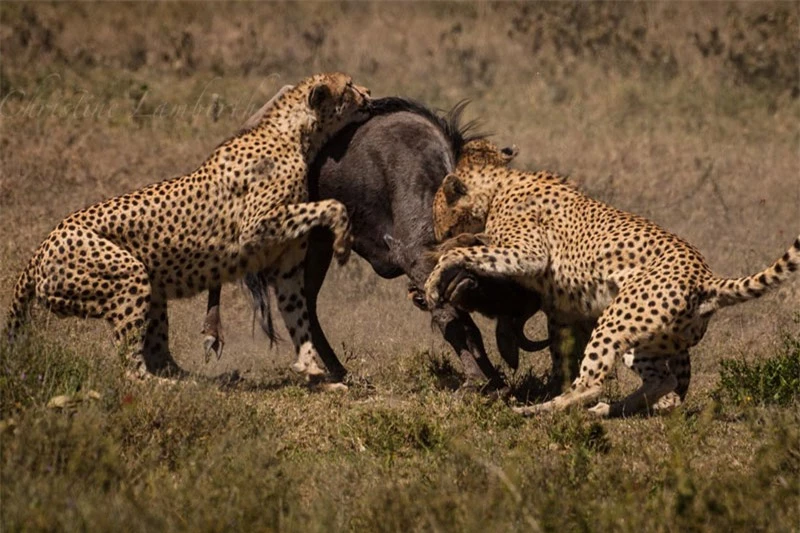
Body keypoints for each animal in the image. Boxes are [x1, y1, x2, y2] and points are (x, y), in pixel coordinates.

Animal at [4, 71, 374, 378]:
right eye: (349, 85)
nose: (370, 91)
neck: (296, 134)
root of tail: (43, 244)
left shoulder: (286, 269)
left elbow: (299, 318)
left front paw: (313, 371)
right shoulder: (256, 227)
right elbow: (333, 205)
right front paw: (342, 242)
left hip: (148, 292)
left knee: (158, 353)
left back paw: (195, 381)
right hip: (127, 277)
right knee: (130, 369)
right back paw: (163, 386)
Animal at [424, 139, 792, 418]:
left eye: (439, 213)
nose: (437, 233)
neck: (501, 183)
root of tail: (705, 277)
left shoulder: (528, 253)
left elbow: (470, 253)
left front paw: (436, 275)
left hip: (615, 321)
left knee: (591, 385)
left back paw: (537, 410)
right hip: (646, 340)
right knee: (664, 381)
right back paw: (609, 410)